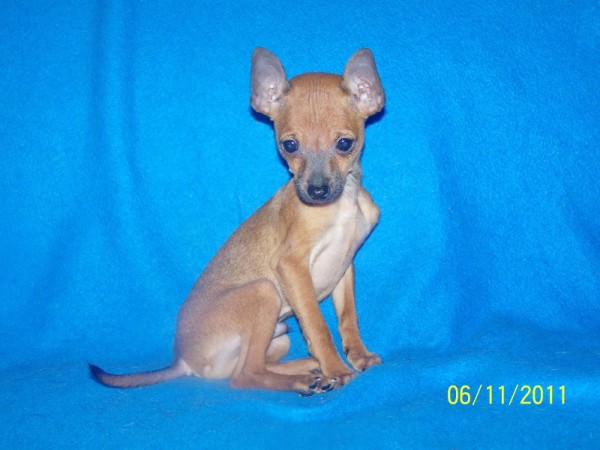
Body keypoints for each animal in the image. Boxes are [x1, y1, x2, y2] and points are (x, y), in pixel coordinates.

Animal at [90, 48, 385, 395]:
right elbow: (317, 324)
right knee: (245, 376)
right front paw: (336, 368)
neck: (342, 205)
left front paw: (358, 355)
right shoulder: (292, 266)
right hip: (264, 292)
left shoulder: (344, 266)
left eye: (344, 144)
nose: (316, 191)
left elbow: (348, 319)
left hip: (279, 336)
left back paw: (305, 366)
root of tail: (184, 361)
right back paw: (303, 378)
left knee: (248, 369)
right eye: (289, 145)